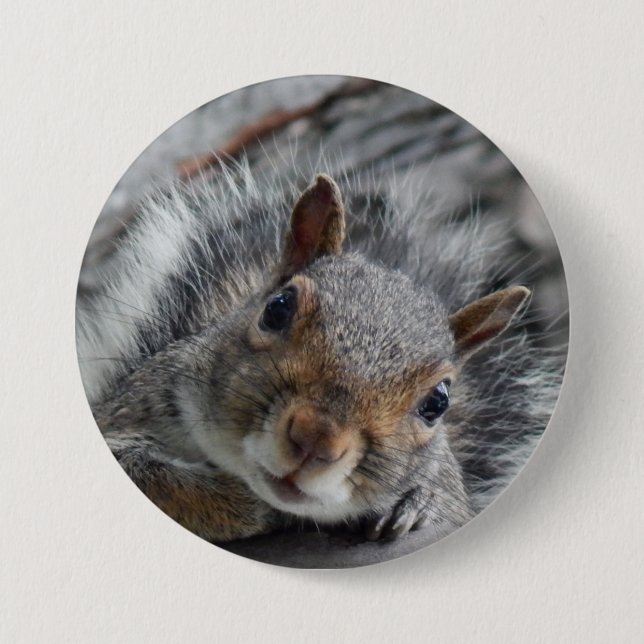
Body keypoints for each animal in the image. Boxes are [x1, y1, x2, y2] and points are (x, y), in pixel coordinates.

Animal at [76, 161, 564, 545]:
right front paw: (253, 506)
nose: (316, 439)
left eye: (438, 402)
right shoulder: (132, 414)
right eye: (277, 308)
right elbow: (156, 478)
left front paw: (417, 506)